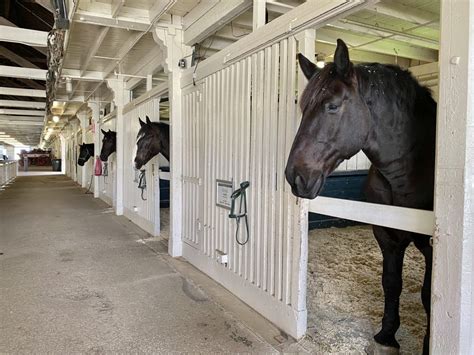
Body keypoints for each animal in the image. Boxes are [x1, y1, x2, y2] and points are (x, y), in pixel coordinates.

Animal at [286, 39, 436, 355]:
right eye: (303, 108)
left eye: (332, 106)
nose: (295, 176)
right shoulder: (386, 235)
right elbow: (391, 282)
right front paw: (386, 335)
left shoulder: (431, 246)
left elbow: (429, 295)